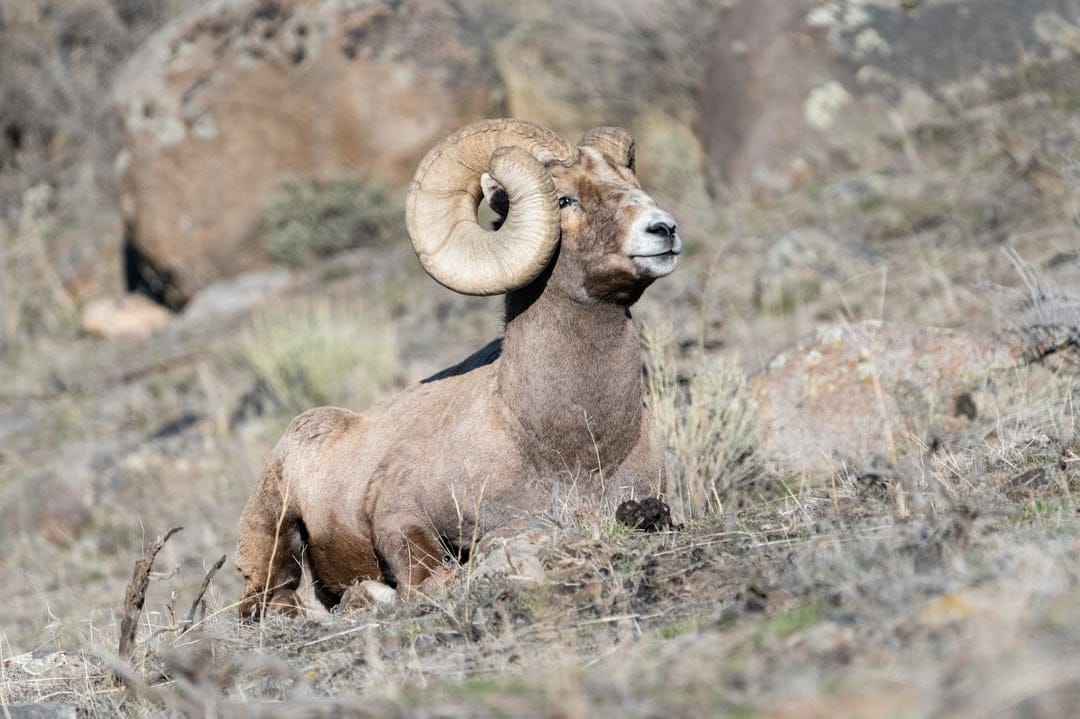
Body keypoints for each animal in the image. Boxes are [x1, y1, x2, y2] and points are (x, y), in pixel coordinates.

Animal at [236, 118, 682, 618]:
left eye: (631, 181)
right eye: (565, 198)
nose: (663, 229)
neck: (573, 449)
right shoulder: (399, 515)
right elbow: (430, 575)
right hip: (272, 537)